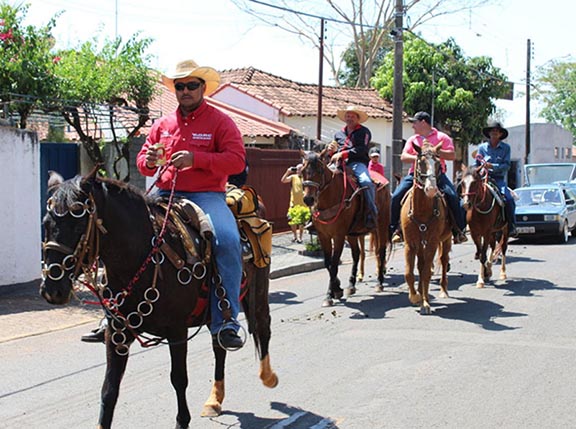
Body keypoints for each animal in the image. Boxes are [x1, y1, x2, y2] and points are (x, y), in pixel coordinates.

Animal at [39, 171, 278, 428]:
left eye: (78, 224)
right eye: (46, 224)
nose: (52, 288)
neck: (140, 259)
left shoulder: (176, 331)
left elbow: (179, 379)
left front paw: (182, 421)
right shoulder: (117, 333)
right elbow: (109, 389)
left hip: (257, 291)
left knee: (262, 326)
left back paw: (268, 376)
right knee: (219, 344)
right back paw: (214, 400)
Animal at [300, 149, 390, 306]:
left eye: (319, 170)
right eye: (303, 171)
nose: (308, 199)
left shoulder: (339, 236)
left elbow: (335, 263)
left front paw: (330, 295)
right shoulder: (324, 236)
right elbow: (328, 263)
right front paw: (337, 289)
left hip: (381, 226)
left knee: (381, 251)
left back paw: (379, 283)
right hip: (352, 234)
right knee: (357, 254)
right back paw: (351, 285)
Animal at [398, 142, 452, 312]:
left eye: (438, 164)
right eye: (421, 162)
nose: (431, 189)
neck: (422, 210)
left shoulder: (432, 243)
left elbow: (427, 272)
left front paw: (425, 302)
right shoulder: (410, 243)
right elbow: (409, 273)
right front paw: (415, 297)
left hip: (446, 239)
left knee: (443, 260)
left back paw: (443, 290)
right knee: (421, 266)